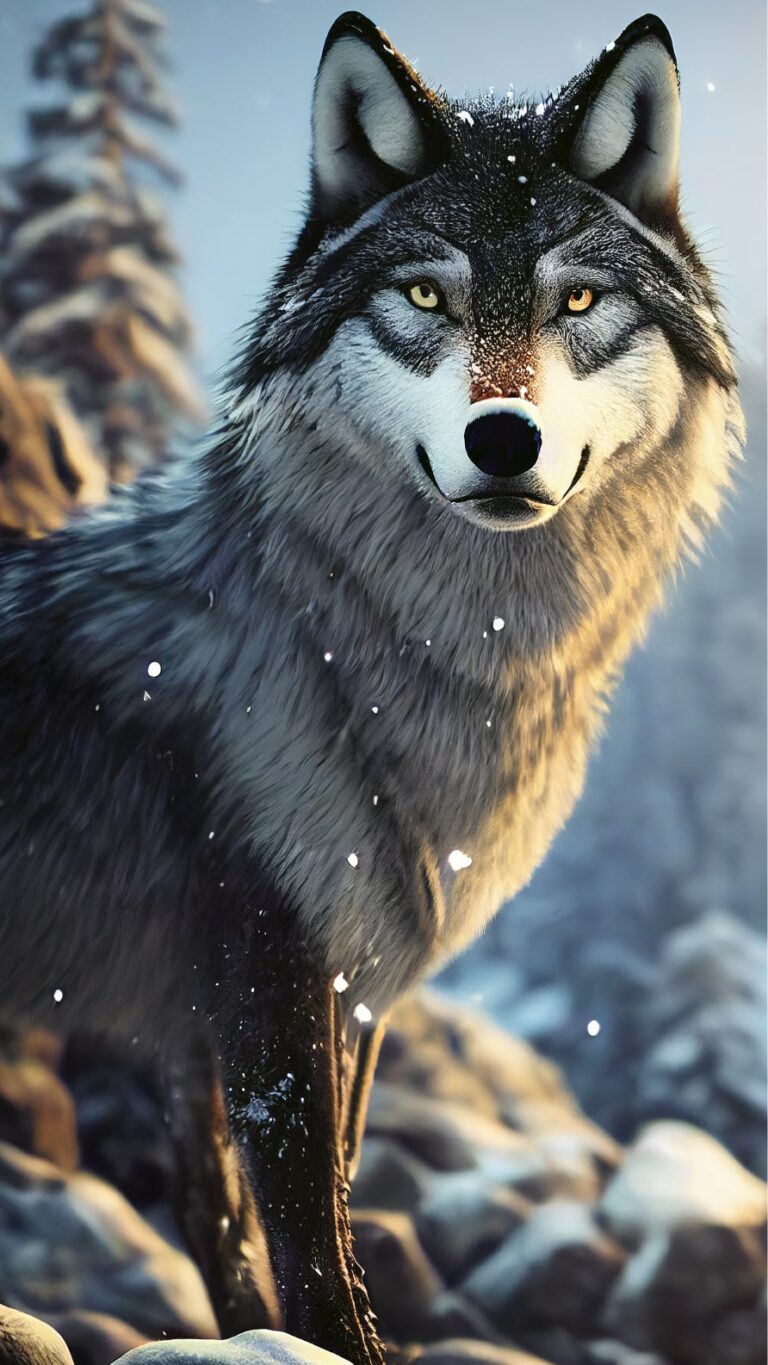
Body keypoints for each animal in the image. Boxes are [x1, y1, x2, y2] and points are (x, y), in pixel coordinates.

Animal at [0, 10, 744, 1363]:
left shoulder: (347, 981)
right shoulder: (264, 956)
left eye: (577, 298)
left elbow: (266, 1208)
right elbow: (301, 1227)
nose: (504, 437)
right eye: (424, 294)